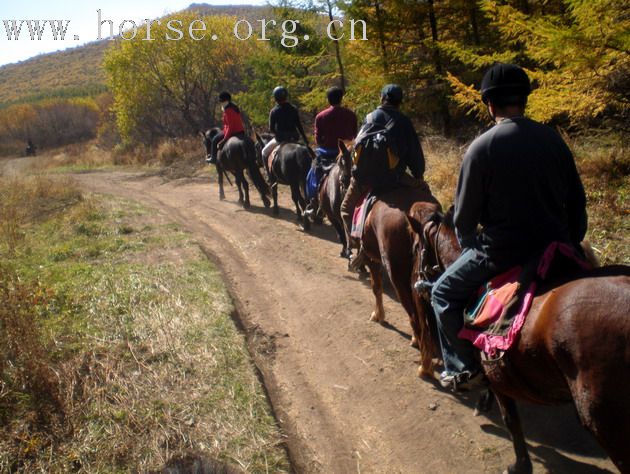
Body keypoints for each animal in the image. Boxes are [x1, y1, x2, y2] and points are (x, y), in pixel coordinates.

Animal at [408, 204, 630, 474]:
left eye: (416, 248)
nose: (416, 283)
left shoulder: (498, 375)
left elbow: (511, 420)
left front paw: (520, 464)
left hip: (607, 424)